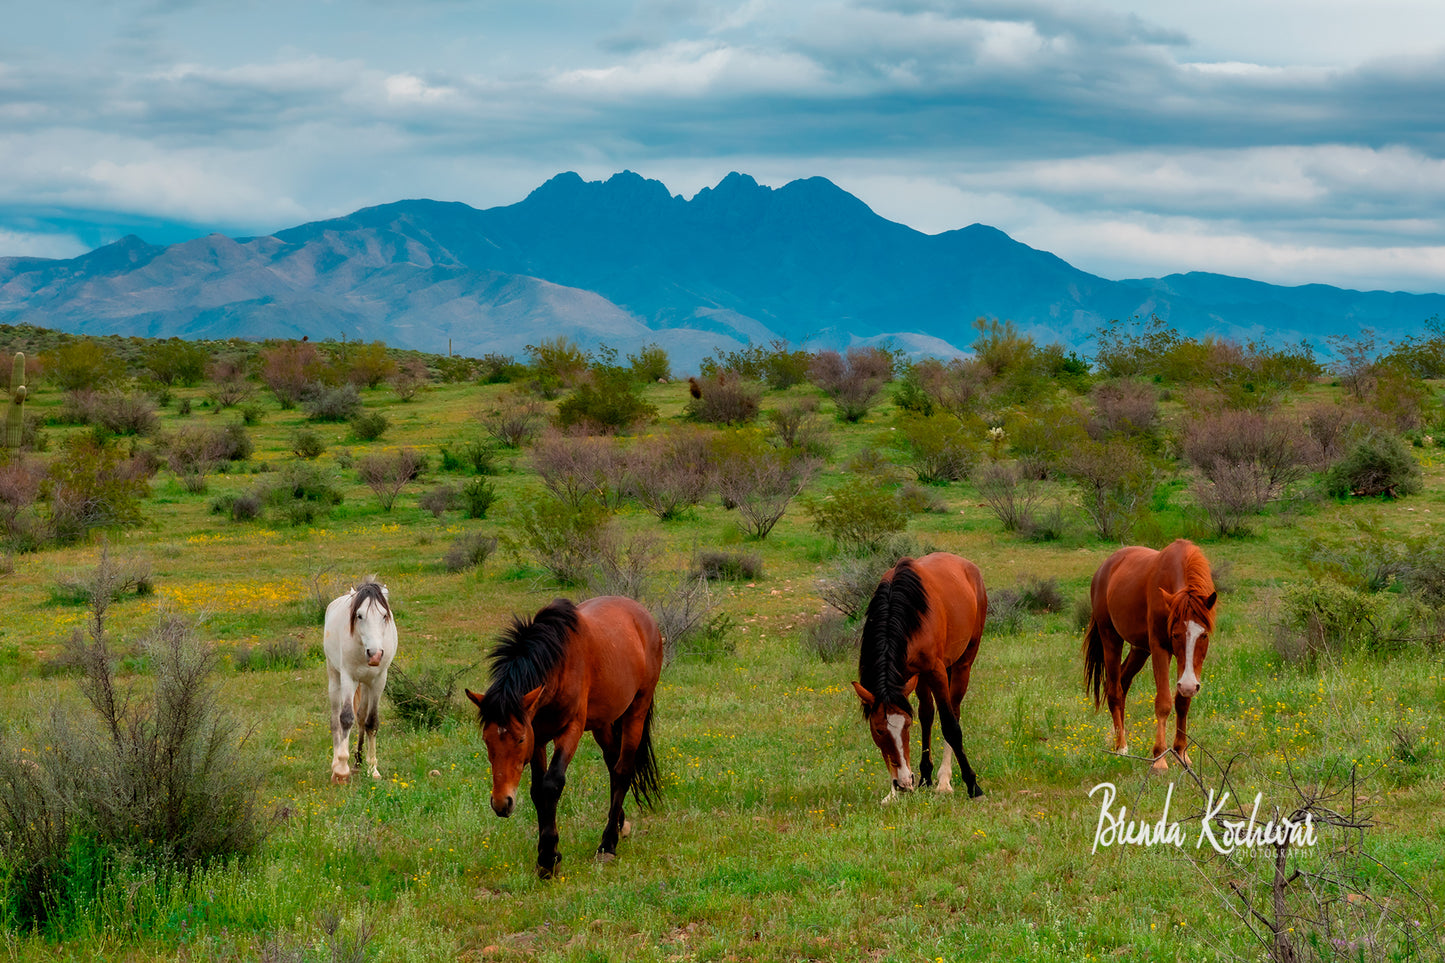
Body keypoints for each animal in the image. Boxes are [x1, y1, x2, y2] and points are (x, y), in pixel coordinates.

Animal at [323, 581, 398, 784]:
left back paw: (358, 763)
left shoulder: (379, 680)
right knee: (335, 720)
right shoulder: (349, 678)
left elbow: (371, 721)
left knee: (362, 716)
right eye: (359, 615)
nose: (375, 654)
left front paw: (372, 769)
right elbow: (346, 718)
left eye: (384, 615)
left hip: (365, 684)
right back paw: (336, 764)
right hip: (335, 678)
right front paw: (341, 770)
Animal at [465, 595, 663, 879]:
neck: (558, 664)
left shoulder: (569, 730)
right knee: (613, 765)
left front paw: (549, 858)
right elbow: (538, 790)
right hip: (603, 723)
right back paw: (619, 823)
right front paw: (546, 856)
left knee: (623, 771)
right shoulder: (538, 736)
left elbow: (552, 784)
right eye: (486, 740)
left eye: (519, 739)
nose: (502, 803)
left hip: (636, 711)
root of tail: (643, 615)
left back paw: (608, 844)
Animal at [851, 552, 987, 803]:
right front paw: (892, 793)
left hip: (963, 664)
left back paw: (944, 780)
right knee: (927, 714)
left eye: (906, 726)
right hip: (921, 678)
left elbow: (951, 726)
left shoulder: (936, 671)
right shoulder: (906, 677)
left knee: (953, 711)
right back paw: (926, 777)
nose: (904, 782)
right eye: (878, 731)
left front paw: (973, 786)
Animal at [1083, 539, 1218, 771]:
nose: (1189, 685)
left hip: (1139, 650)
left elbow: (1182, 702)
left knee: (1122, 683)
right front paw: (1159, 759)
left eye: (1204, 635)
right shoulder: (1160, 648)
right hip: (1111, 639)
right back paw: (1121, 746)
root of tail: (1104, 568)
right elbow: (1163, 703)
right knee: (1114, 690)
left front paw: (1181, 752)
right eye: (1175, 634)